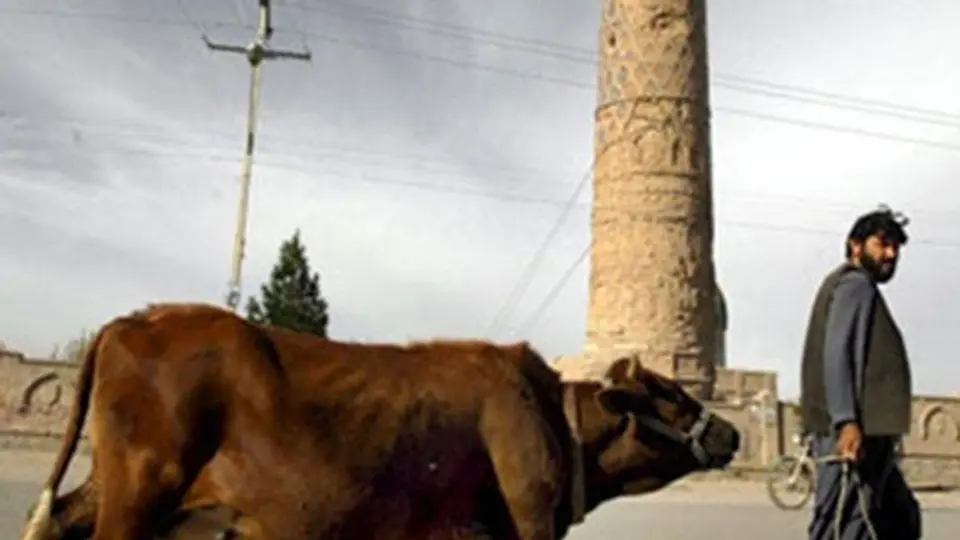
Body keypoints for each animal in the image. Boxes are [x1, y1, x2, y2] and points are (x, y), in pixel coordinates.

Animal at [20, 303, 740, 540]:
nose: (732, 431)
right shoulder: (527, 521)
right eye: (671, 395)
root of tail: (141, 317)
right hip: (141, 489)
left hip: (120, 488)